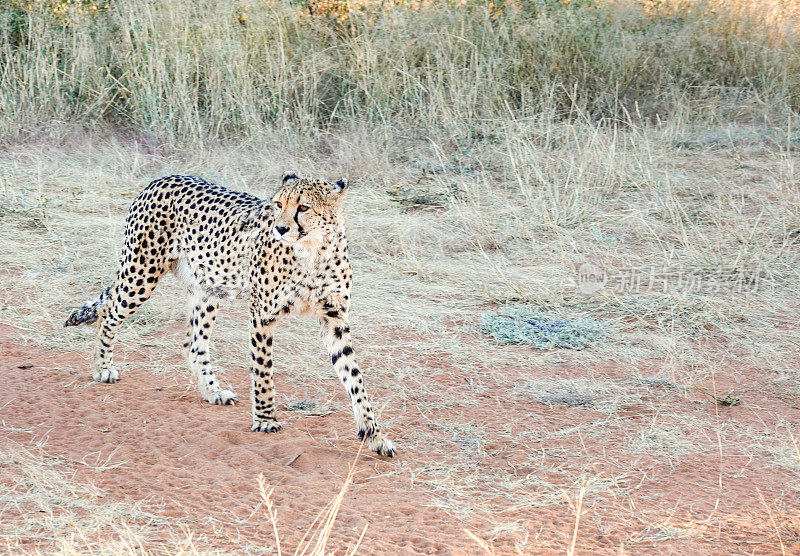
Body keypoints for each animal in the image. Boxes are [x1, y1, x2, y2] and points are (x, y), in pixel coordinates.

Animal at [65, 173, 396, 456]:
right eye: (278, 204)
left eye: (303, 207)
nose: (280, 228)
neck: (313, 251)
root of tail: (161, 178)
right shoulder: (263, 314)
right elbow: (263, 371)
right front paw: (265, 419)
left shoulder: (335, 320)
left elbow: (355, 379)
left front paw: (373, 435)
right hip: (141, 274)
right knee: (109, 313)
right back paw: (102, 368)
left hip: (207, 289)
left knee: (193, 344)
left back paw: (213, 391)